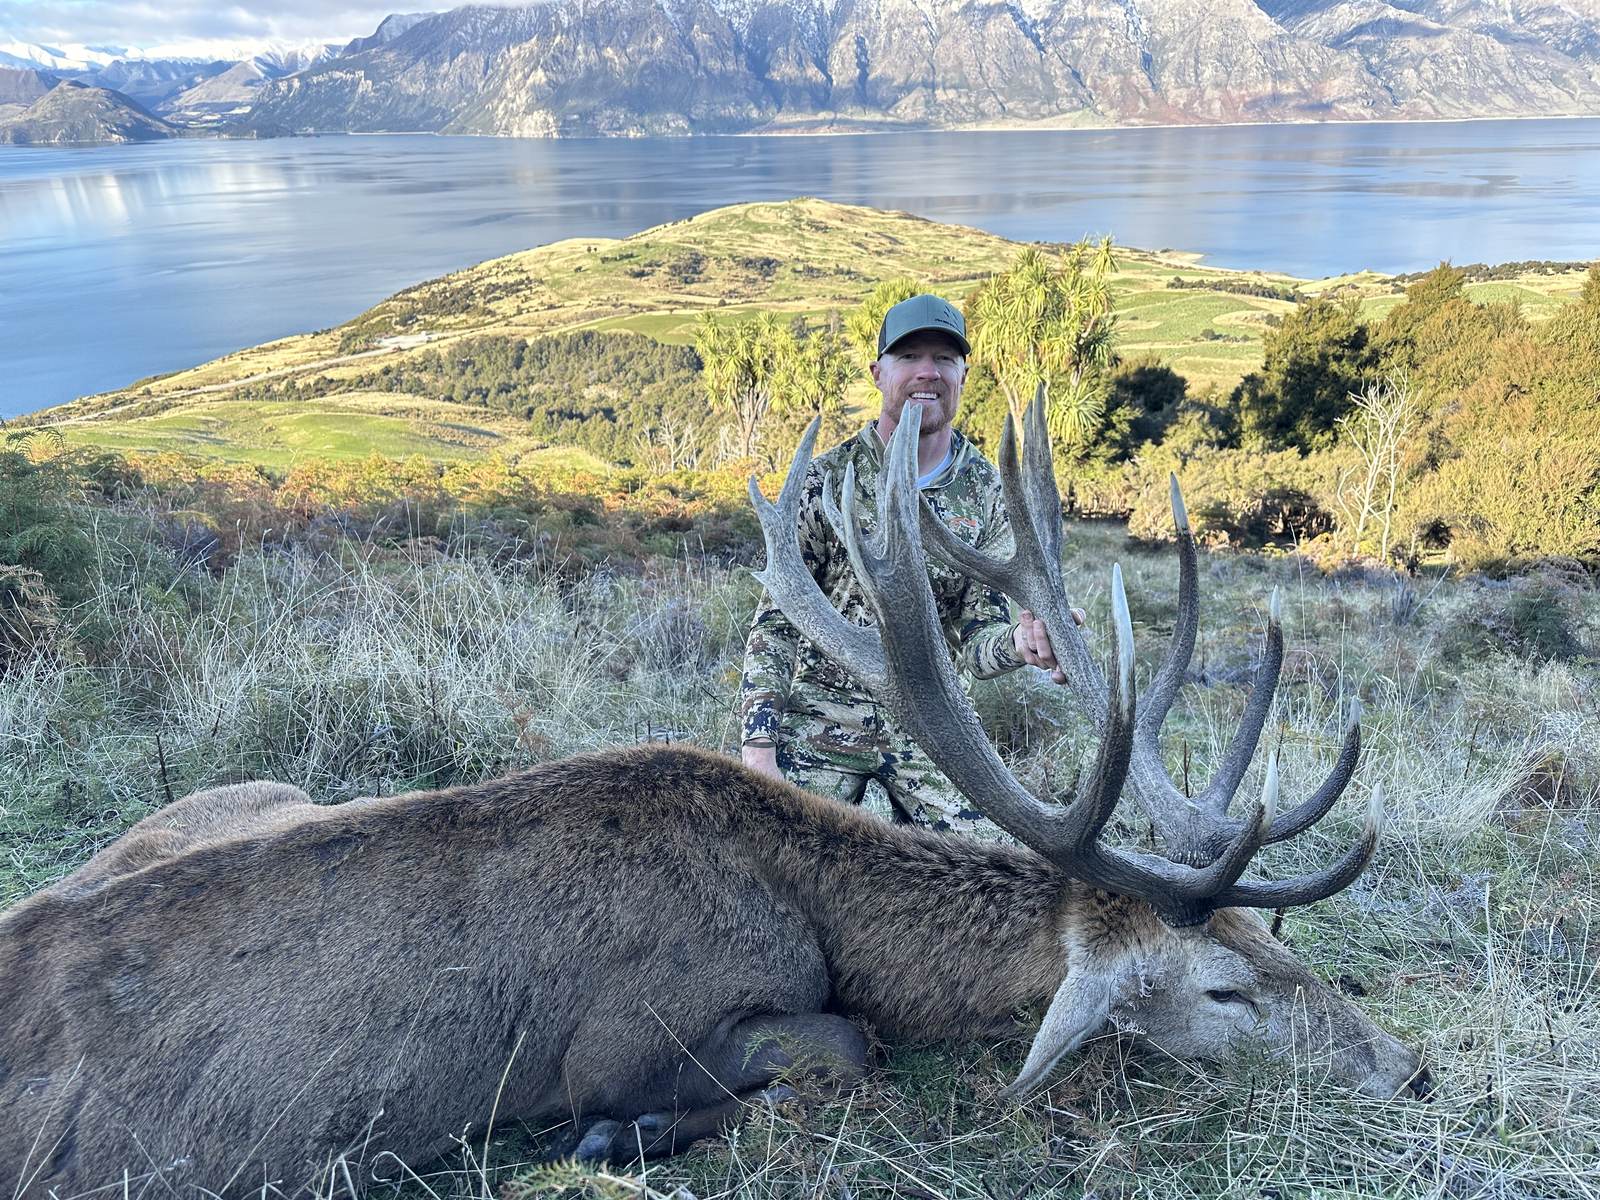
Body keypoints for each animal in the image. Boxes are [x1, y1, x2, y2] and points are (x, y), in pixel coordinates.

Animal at [0, 398, 1428, 1198]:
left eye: (1274, 942)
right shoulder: (620, 1035)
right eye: (1224, 991)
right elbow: (845, 1050)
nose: (1409, 1072)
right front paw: (619, 1140)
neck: (814, 913)